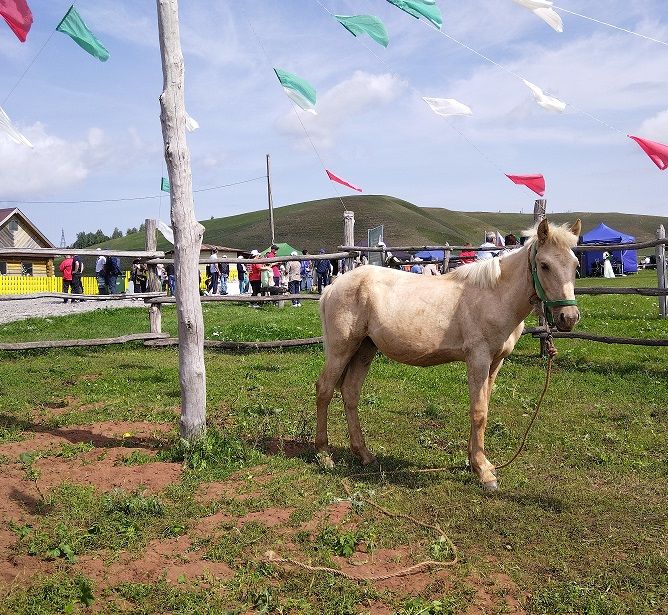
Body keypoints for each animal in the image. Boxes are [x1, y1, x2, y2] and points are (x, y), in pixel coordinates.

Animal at [316, 220, 580, 490]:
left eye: (575, 265)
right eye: (544, 265)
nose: (568, 318)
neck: (495, 295)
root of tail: (332, 286)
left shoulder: (496, 362)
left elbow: (484, 407)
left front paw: (475, 462)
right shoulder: (478, 359)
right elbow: (478, 411)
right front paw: (484, 472)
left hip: (364, 350)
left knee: (350, 393)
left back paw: (364, 454)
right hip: (341, 349)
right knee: (324, 389)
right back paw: (324, 454)